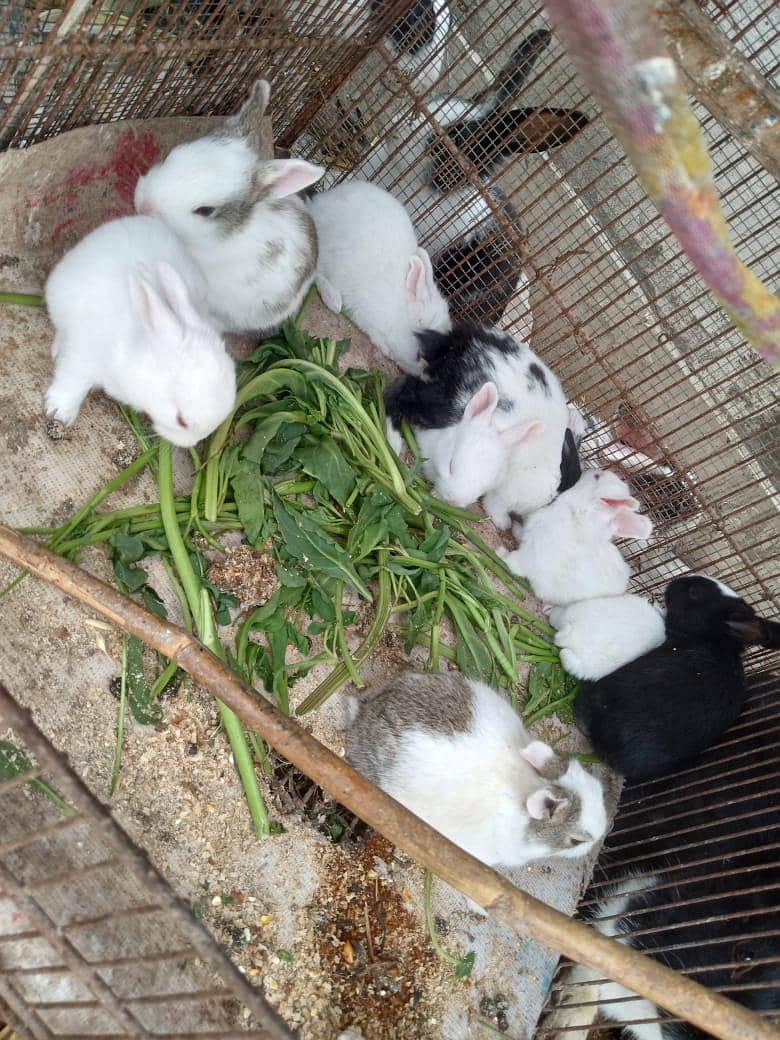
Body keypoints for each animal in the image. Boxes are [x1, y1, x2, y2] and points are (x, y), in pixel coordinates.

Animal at [306, 180, 451, 374]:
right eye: (421, 354)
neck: (399, 312)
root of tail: (318, 202)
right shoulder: (367, 313)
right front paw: (385, 349)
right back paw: (333, 300)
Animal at [502, 469, 654, 605]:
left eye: (597, 476)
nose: (586, 470)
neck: (577, 516)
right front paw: (515, 529)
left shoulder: (532, 554)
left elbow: (514, 563)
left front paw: (501, 553)